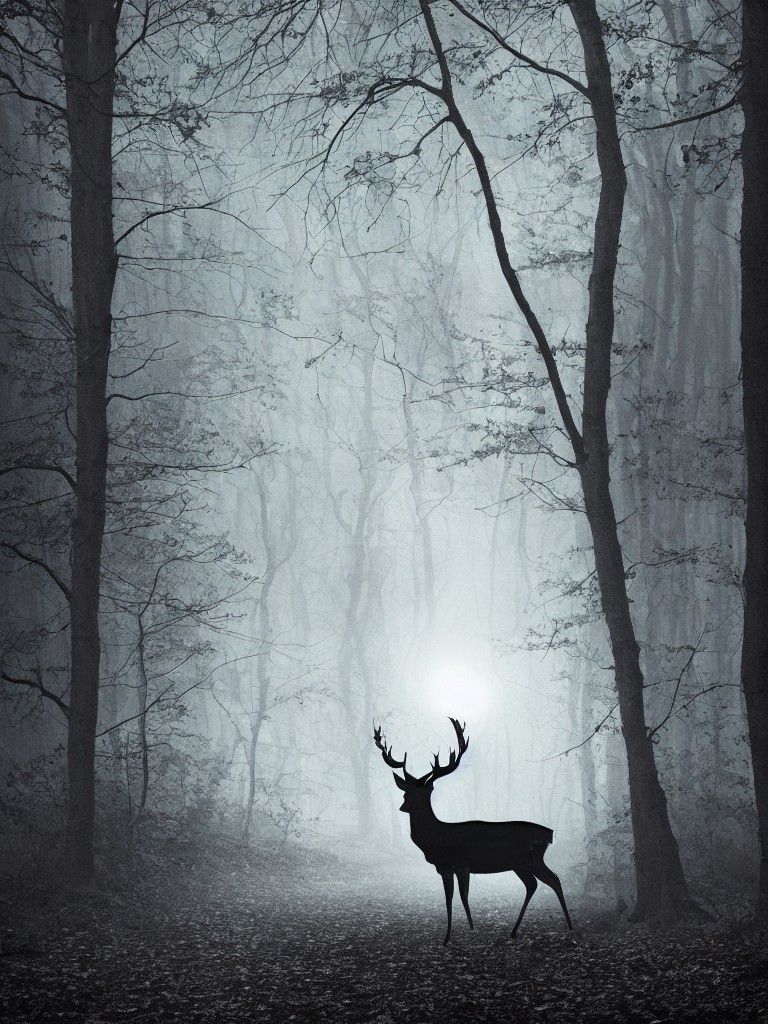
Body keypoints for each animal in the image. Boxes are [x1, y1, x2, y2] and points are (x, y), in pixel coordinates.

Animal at [373, 717, 572, 944]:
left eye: (425, 791)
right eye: (406, 791)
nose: (403, 805)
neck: (436, 839)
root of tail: (550, 834)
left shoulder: (461, 863)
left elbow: (462, 896)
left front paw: (463, 932)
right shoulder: (444, 867)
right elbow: (450, 899)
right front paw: (454, 934)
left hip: (528, 859)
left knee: (546, 881)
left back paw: (563, 926)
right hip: (525, 862)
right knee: (542, 882)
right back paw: (529, 929)